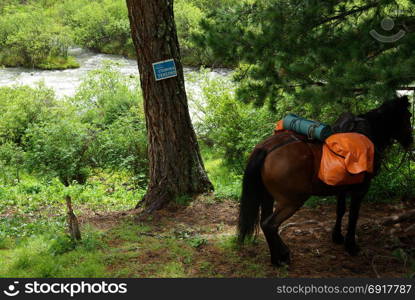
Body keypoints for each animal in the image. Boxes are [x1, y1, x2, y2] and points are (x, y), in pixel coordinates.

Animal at [239, 96, 414, 264]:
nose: (410, 141)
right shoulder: (360, 189)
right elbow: (353, 215)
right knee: (270, 225)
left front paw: (337, 237)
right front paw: (351, 246)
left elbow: (341, 210)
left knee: (264, 223)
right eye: (408, 116)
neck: (368, 134)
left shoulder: (342, 187)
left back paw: (279, 256)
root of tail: (267, 148)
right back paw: (281, 257)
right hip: (292, 201)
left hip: (268, 197)